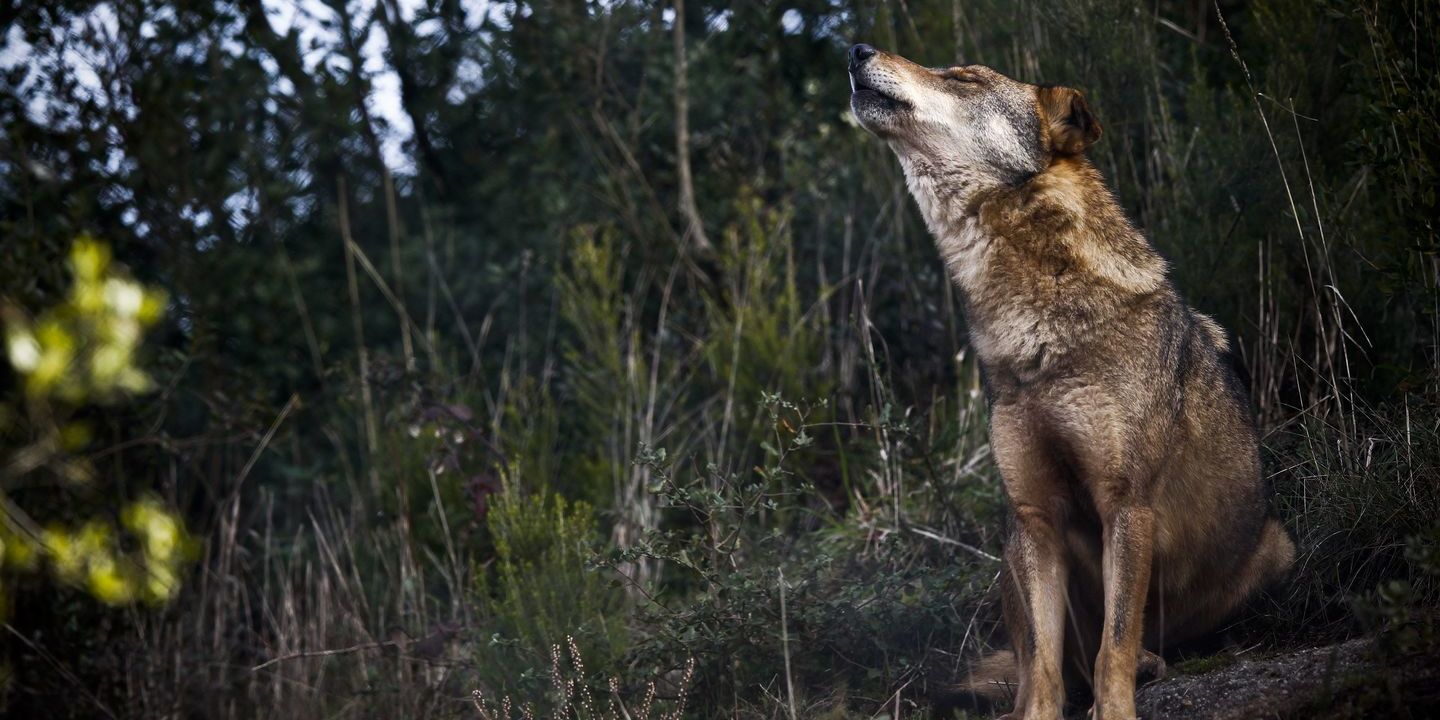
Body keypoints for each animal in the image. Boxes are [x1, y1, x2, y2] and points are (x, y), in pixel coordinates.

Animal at [846, 44, 1295, 719]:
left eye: (963, 77)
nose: (855, 51)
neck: (1034, 330)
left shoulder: (1125, 504)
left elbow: (1113, 644)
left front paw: (1115, 710)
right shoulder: (1036, 516)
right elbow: (1044, 663)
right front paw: (1036, 712)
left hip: (1276, 550)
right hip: (1010, 547)